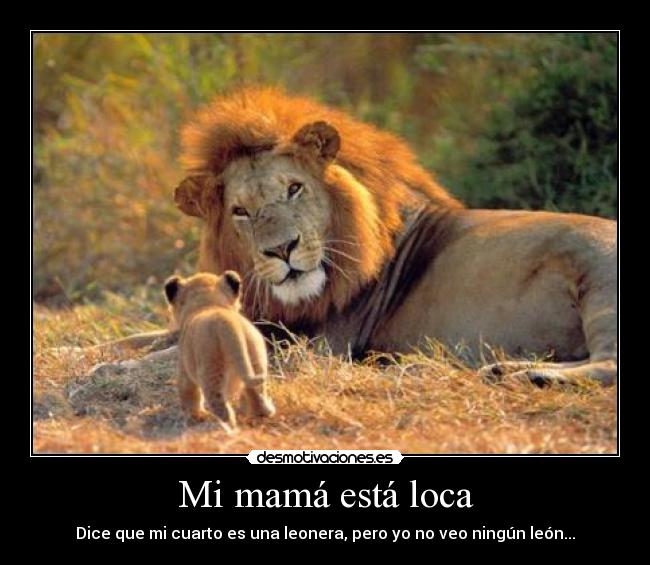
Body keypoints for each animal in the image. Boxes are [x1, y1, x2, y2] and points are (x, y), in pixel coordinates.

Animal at [164, 270, 275, 429]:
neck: (209, 304)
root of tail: (227, 324)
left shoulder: (184, 367)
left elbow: (188, 391)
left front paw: (195, 416)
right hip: (255, 359)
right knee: (256, 392)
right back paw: (261, 414)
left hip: (210, 371)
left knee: (220, 406)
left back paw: (224, 428)